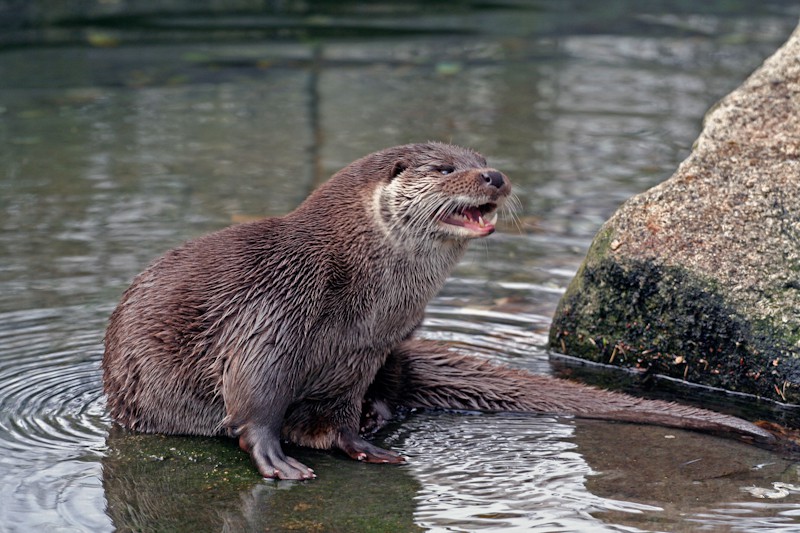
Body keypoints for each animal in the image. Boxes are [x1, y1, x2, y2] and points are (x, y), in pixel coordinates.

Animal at [103, 143, 772, 480]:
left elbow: (338, 409)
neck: (355, 288)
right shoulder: (273, 318)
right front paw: (275, 458)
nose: (494, 176)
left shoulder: (364, 352)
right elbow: (254, 396)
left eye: (481, 159)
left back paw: (378, 417)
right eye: (448, 169)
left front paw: (358, 442)